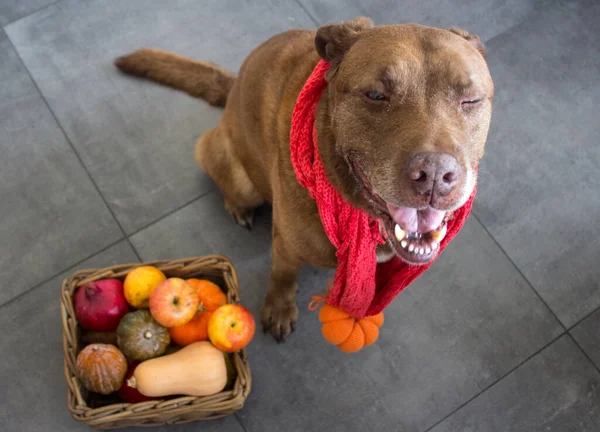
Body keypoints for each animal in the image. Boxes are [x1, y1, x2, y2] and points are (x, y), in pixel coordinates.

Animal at [116, 16, 492, 340]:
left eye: (470, 99)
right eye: (375, 95)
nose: (435, 176)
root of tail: (233, 85)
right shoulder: (285, 245)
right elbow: (282, 275)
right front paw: (280, 308)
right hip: (232, 169)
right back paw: (238, 208)